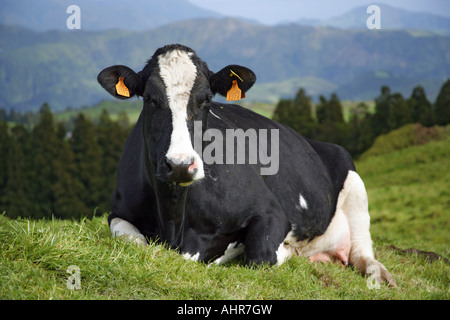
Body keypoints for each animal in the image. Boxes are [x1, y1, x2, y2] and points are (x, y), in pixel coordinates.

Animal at [96, 43, 396, 286]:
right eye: (149, 98)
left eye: (206, 99)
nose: (180, 165)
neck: (174, 220)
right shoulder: (118, 212)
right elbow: (135, 243)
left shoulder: (271, 212)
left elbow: (260, 256)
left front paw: (284, 250)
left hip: (355, 188)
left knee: (362, 251)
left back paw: (380, 275)